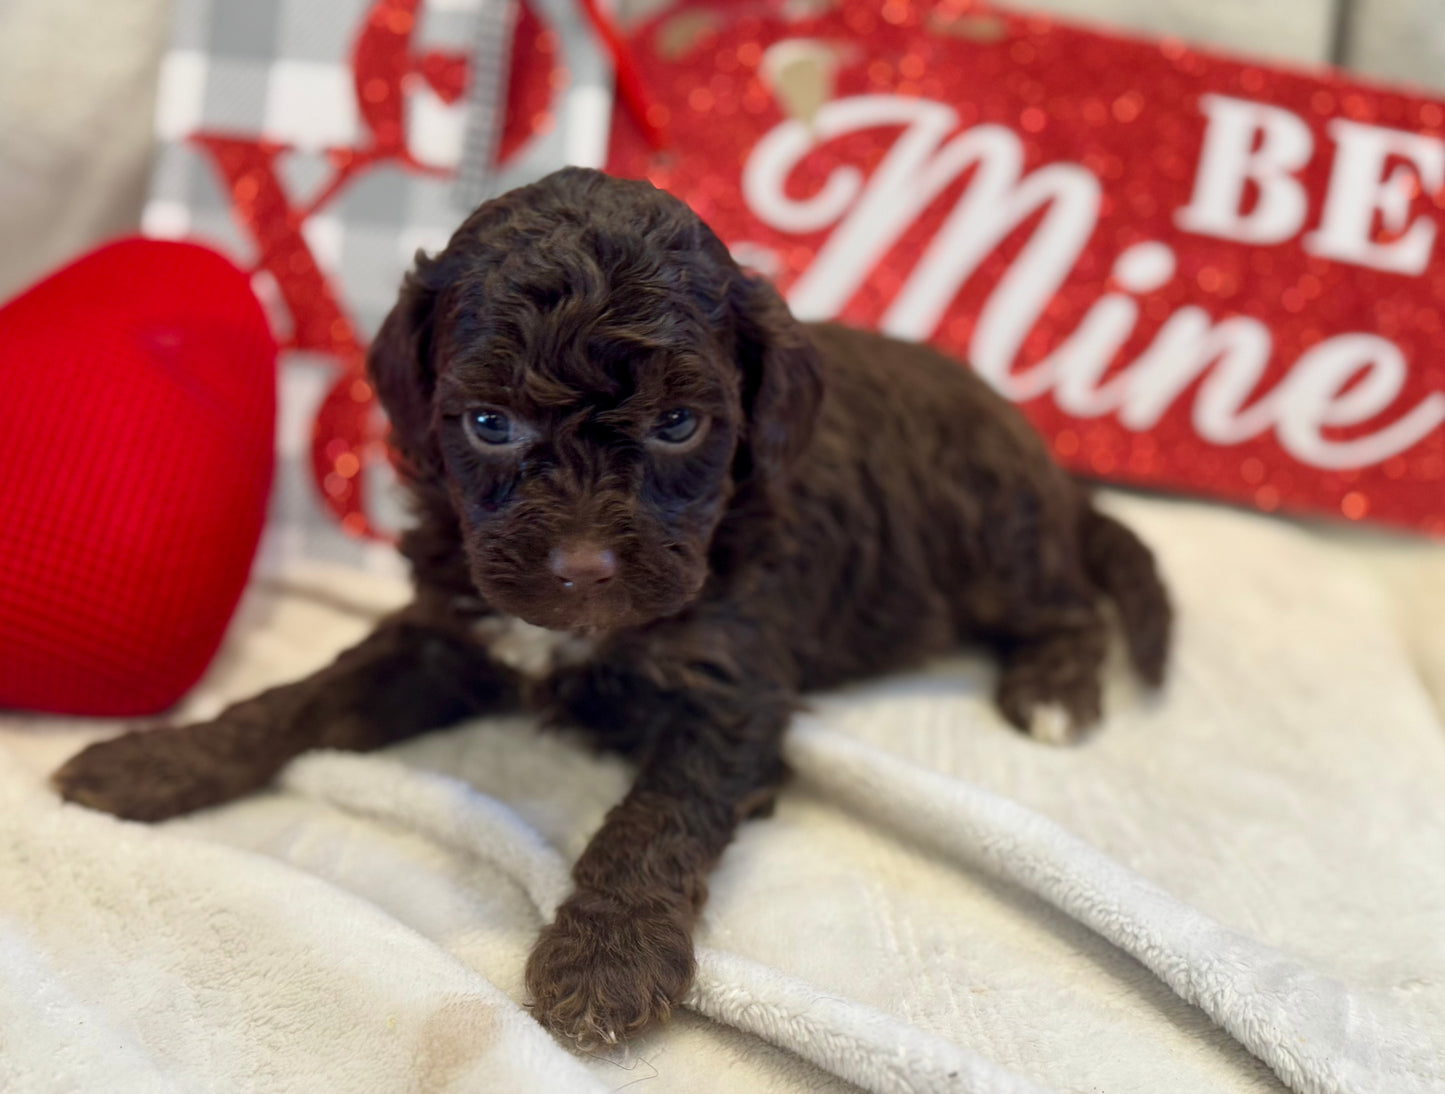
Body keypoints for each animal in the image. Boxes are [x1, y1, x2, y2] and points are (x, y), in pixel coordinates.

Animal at [53, 166, 1173, 1046]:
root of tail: (1044, 459)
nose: (584, 567)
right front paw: (157, 760)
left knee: (1067, 603)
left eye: (679, 424)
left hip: (991, 533)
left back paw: (1052, 691)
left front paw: (605, 962)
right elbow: (299, 696)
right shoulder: (448, 628)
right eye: (489, 424)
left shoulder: (729, 690)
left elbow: (653, 818)